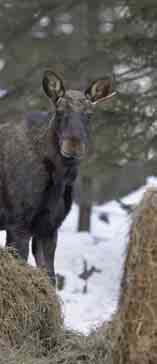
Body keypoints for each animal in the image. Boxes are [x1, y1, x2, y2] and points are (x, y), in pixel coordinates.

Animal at [0, 69, 115, 282]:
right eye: (59, 111)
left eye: (89, 115)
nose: (73, 144)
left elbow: (50, 278)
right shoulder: (17, 224)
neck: (60, 177)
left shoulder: (49, 227)